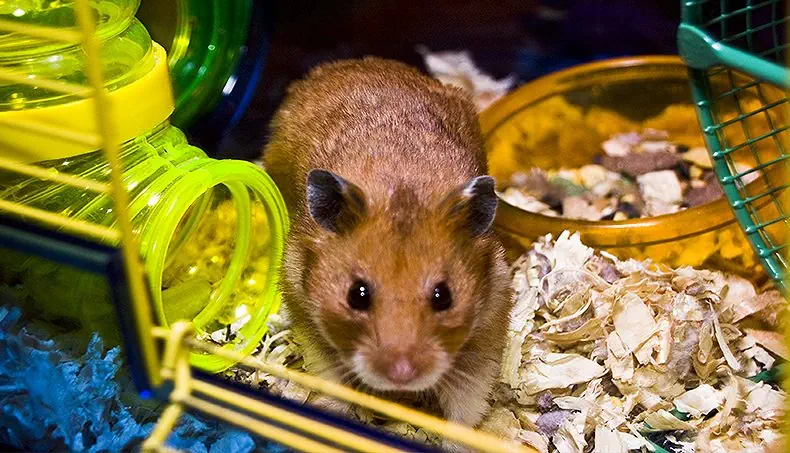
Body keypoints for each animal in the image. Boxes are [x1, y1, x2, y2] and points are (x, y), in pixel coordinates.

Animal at [262, 57, 514, 432]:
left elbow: (464, 411)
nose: (401, 374)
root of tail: (347, 63)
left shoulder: (488, 326)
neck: (401, 189)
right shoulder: (306, 313)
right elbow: (332, 385)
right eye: (357, 295)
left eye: (443, 297)